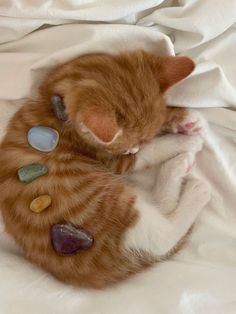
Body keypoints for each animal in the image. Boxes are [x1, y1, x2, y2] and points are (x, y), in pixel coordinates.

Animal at [0, 50, 209, 288]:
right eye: (126, 148)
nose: (133, 148)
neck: (52, 103)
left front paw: (185, 120)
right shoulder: (114, 162)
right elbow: (149, 152)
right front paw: (183, 141)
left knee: (162, 210)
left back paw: (176, 167)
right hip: (109, 208)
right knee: (162, 236)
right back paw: (194, 186)